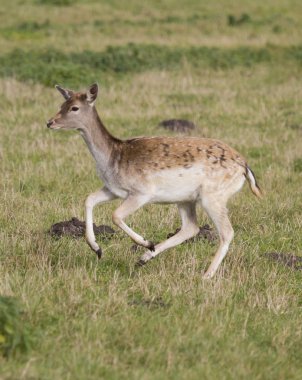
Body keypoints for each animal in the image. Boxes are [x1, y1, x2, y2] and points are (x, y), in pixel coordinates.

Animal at [46, 84, 260, 280]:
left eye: (74, 107)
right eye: (62, 104)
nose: (50, 122)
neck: (113, 158)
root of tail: (245, 167)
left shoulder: (142, 192)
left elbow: (115, 215)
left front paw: (145, 242)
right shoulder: (113, 189)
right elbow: (89, 199)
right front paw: (97, 249)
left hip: (213, 196)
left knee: (226, 232)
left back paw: (205, 275)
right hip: (186, 199)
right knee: (191, 227)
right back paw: (144, 258)